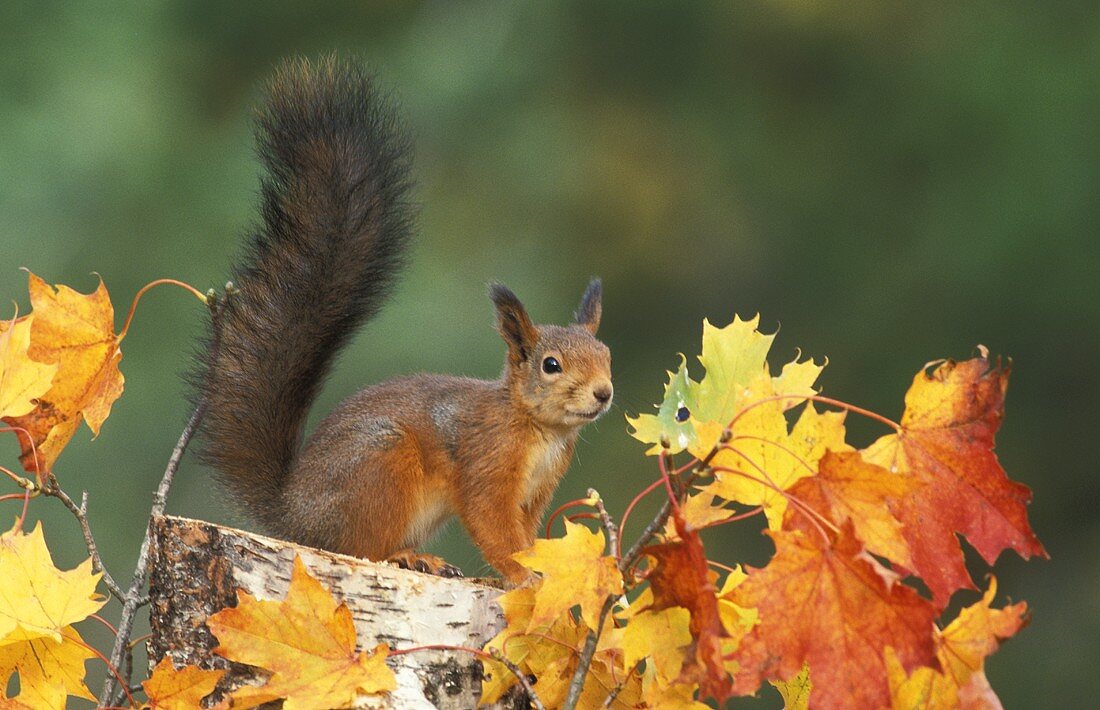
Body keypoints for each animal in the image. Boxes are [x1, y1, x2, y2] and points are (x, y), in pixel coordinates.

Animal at [193, 58, 616, 585]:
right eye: (551, 365)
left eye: (607, 356)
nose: (603, 393)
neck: (538, 428)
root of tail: (293, 516)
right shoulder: (485, 467)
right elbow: (495, 529)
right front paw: (524, 578)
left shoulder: (537, 493)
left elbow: (528, 534)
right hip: (382, 466)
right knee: (360, 548)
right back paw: (407, 555)